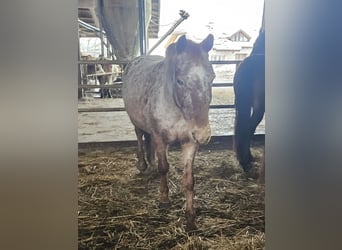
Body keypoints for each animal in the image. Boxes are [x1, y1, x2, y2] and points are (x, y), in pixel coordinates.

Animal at [122, 34, 214, 230]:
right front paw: (164, 199)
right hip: (136, 122)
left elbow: (188, 180)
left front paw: (190, 219)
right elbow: (163, 168)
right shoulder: (159, 138)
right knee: (140, 137)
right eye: (180, 80)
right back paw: (143, 164)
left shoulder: (190, 142)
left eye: (212, 78)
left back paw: (150, 161)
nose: (203, 134)